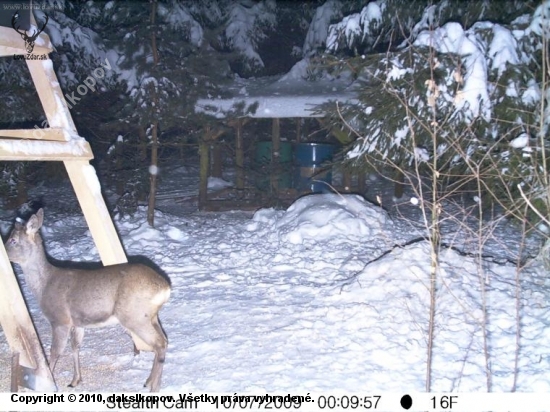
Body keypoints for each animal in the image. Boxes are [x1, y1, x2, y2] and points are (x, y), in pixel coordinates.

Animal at [4, 209, 170, 392]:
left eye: (13, 240)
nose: (3, 252)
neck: (44, 285)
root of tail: (165, 288)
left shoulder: (60, 319)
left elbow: (55, 352)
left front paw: (50, 385)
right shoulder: (78, 322)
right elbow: (75, 347)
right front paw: (75, 380)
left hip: (135, 316)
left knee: (160, 343)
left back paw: (154, 387)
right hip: (150, 317)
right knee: (165, 340)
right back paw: (148, 381)